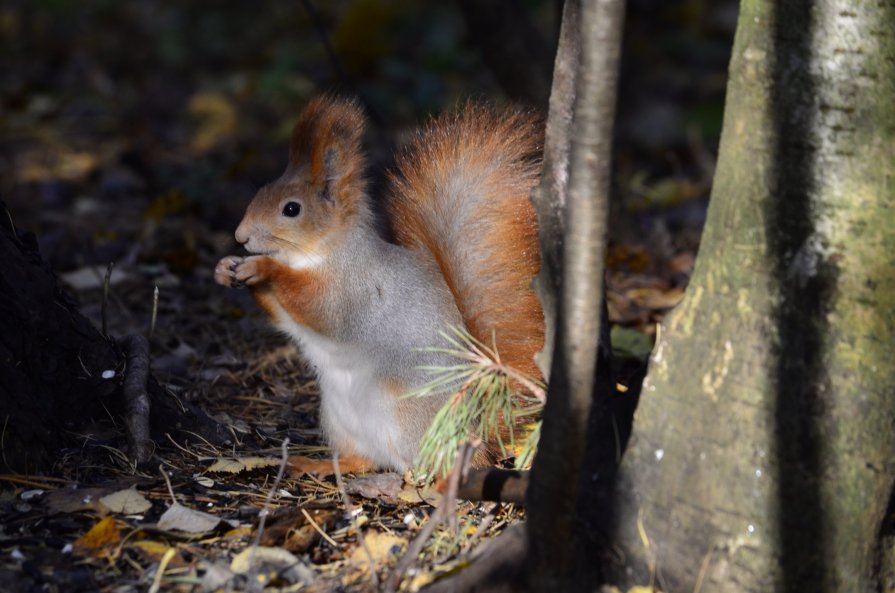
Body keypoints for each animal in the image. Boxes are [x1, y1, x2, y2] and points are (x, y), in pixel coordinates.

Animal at [214, 96, 544, 476]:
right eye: (261, 191)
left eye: (291, 209)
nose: (240, 236)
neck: (316, 253)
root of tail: (476, 422)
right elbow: (283, 315)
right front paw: (226, 268)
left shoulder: (352, 288)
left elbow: (318, 307)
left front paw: (263, 266)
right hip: (339, 419)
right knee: (363, 461)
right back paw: (318, 464)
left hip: (410, 417)